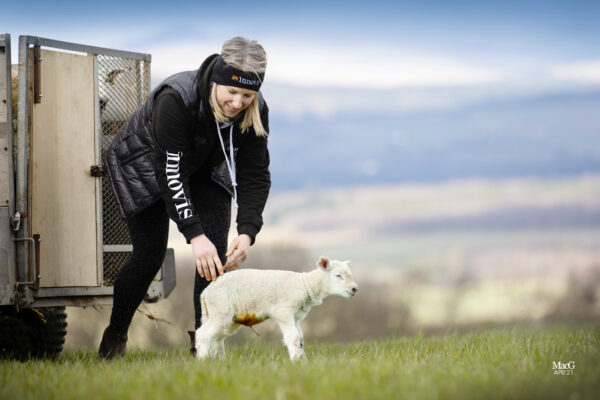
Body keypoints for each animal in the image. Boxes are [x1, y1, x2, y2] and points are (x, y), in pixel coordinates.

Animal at [193, 258, 356, 360]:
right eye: (338, 275)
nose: (355, 289)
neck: (305, 284)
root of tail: (205, 293)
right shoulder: (283, 312)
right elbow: (293, 337)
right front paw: (296, 361)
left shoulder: (295, 316)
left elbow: (300, 338)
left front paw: (303, 360)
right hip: (220, 311)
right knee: (202, 334)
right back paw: (204, 360)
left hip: (226, 318)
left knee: (216, 338)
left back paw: (220, 360)